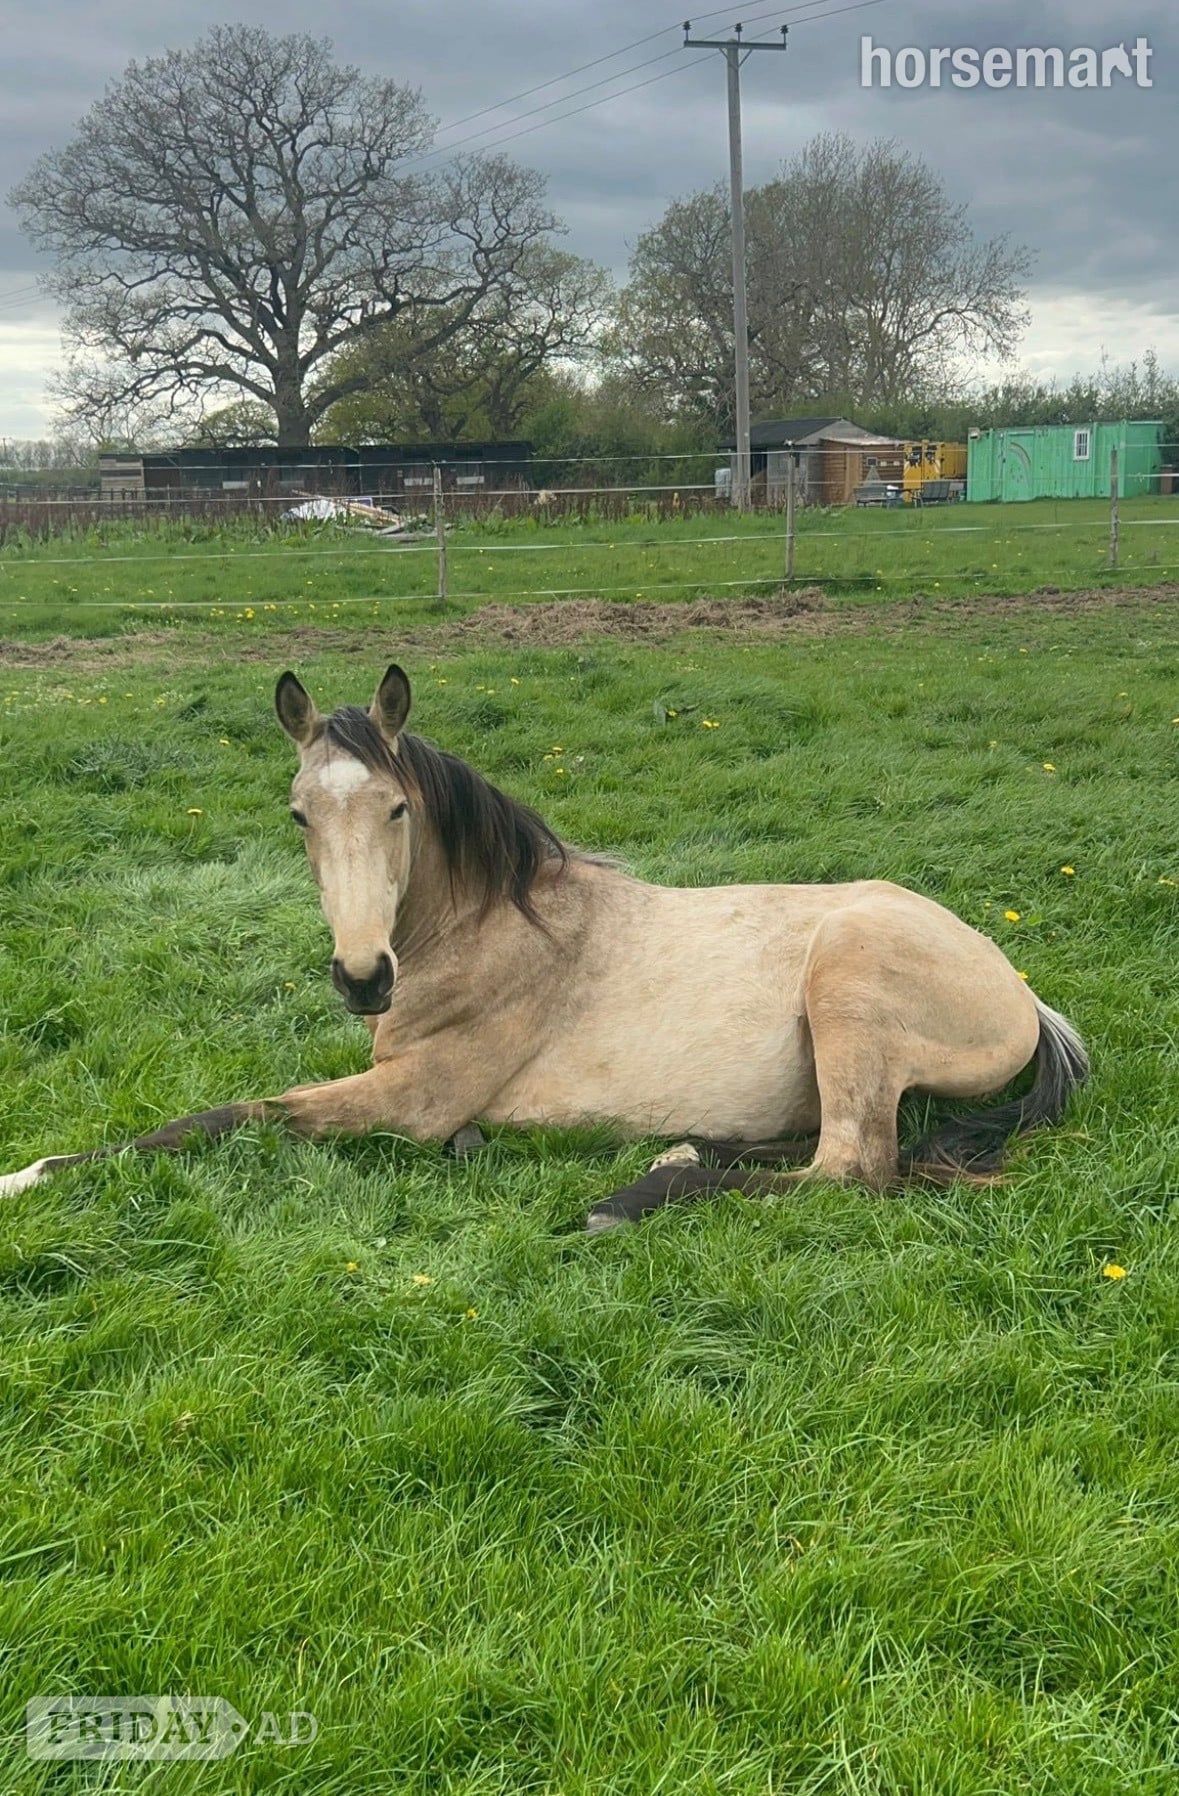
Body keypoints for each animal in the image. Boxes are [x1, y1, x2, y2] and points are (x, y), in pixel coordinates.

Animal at [0, 664, 1089, 1230]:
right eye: (299, 814)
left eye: (397, 808)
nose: (362, 978)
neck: (489, 935)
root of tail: (1021, 993)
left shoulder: (411, 1098)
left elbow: (223, 1116)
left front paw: (28, 1174)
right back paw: (690, 1144)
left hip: (850, 988)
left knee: (852, 1168)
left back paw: (634, 1192)